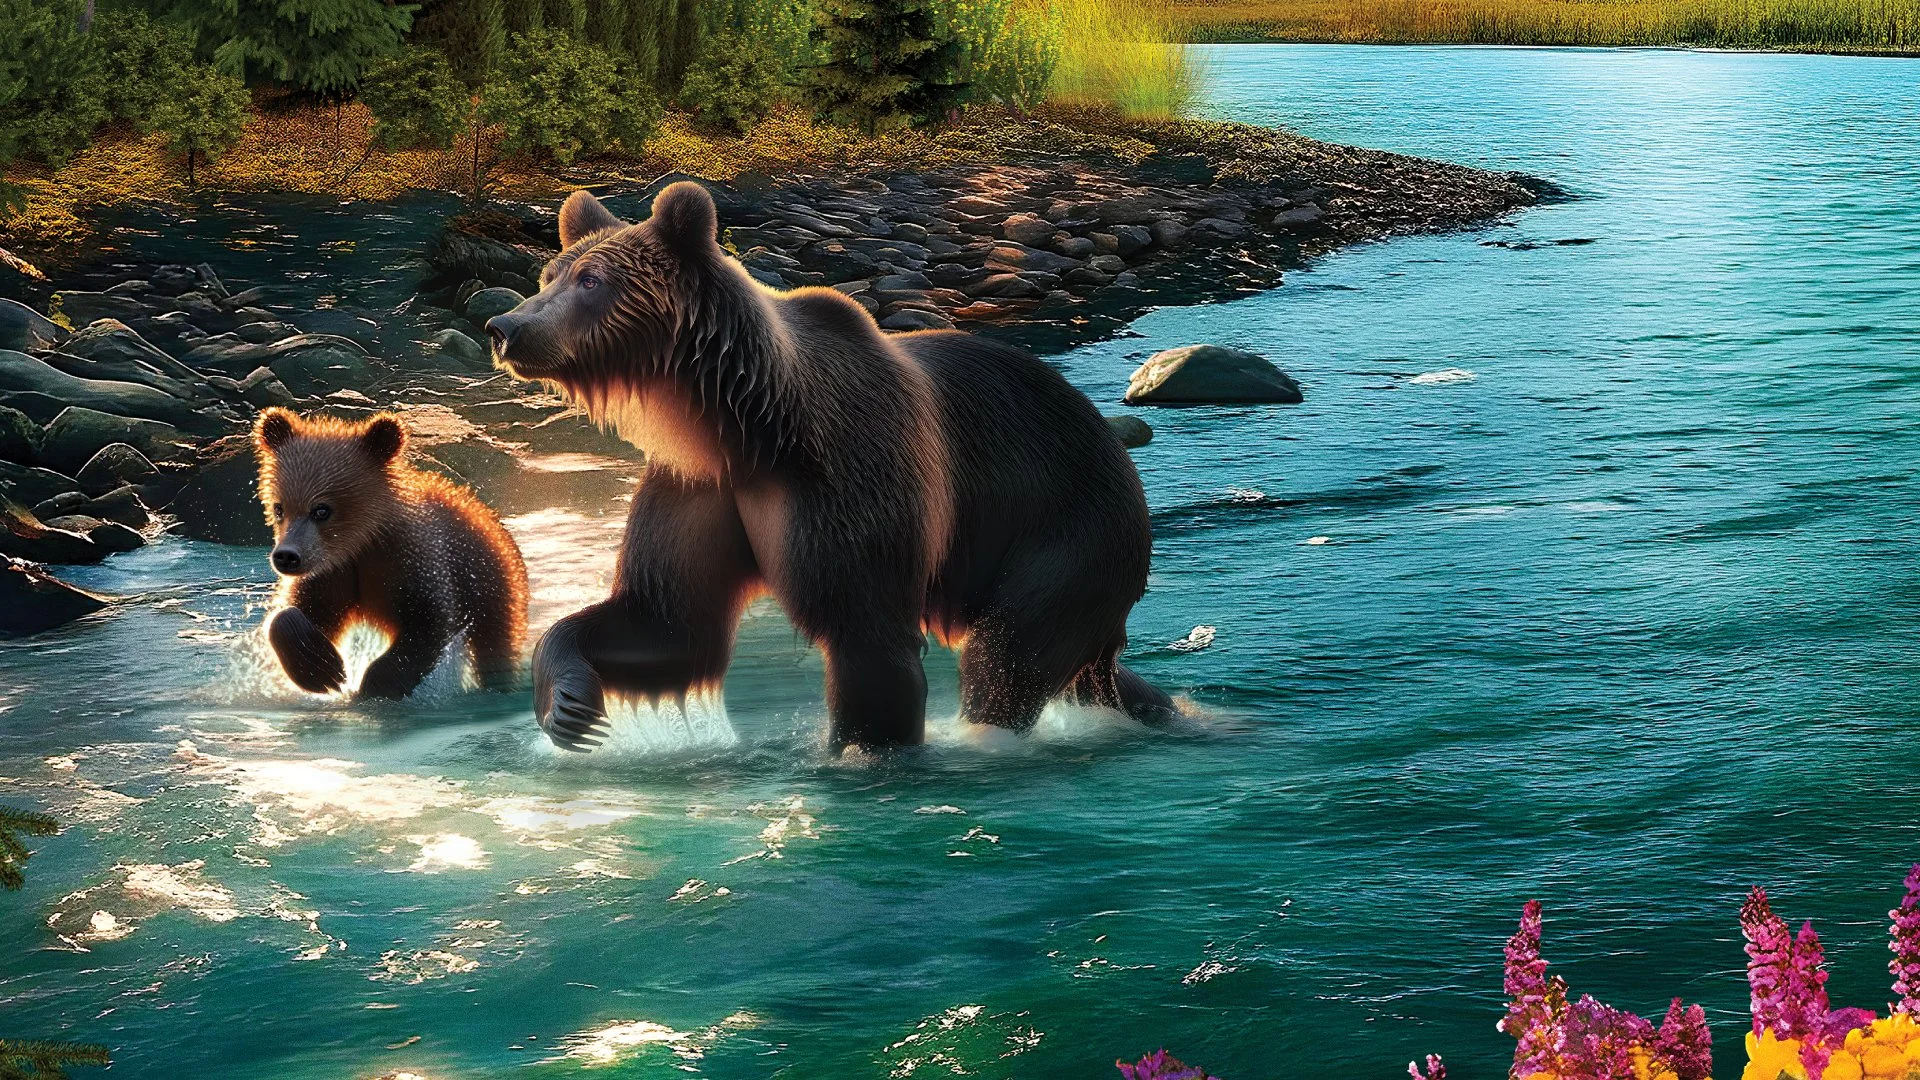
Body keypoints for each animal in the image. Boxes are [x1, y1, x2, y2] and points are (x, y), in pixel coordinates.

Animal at [253, 408, 529, 699]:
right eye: (279, 508)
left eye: (322, 510)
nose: (286, 556)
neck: (360, 543)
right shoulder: (332, 573)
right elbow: (300, 611)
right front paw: (322, 668)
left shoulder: (411, 559)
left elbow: (426, 621)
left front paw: (375, 683)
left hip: (489, 581)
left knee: (494, 643)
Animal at [486, 182, 1173, 752]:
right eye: (550, 273)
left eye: (592, 280)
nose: (504, 324)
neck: (749, 427)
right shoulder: (700, 487)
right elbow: (665, 624)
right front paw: (569, 702)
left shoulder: (849, 475)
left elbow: (867, 638)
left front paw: (861, 754)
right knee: (1086, 670)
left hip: (1067, 524)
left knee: (1008, 652)